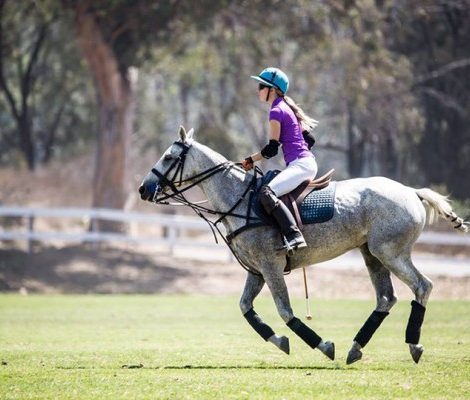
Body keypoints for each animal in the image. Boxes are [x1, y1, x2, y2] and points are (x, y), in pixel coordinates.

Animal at [139, 126, 466, 364]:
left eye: (168, 157)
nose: (144, 189)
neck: (239, 199)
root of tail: (412, 191)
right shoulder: (256, 270)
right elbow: (245, 307)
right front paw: (280, 340)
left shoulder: (271, 266)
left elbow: (285, 311)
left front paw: (323, 345)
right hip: (371, 253)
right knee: (386, 297)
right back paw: (356, 348)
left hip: (391, 252)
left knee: (422, 286)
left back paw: (413, 345)